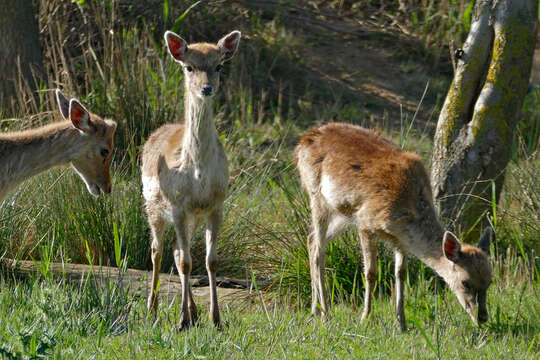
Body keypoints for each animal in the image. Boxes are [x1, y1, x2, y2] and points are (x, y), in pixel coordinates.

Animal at [141, 30, 240, 330]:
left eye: (218, 66)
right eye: (189, 67)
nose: (206, 88)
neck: (197, 174)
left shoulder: (216, 204)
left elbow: (210, 261)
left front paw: (216, 319)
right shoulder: (177, 205)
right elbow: (186, 263)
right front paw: (181, 321)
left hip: (191, 218)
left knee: (175, 250)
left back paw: (194, 312)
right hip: (152, 206)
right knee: (157, 250)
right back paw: (152, 309)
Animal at [296, 122, 494, 330]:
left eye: (490, 281)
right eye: (465, 282)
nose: (482, 317)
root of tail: (304, 141)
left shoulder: (400, 239)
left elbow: (400, 273)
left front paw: (402, 323)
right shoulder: (366, 222)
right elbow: (371, 273)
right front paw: (365, 318)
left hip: (344, 212)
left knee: (311, 240)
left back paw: (315, 309)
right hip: (317, 197)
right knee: (319, 252)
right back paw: (325, 313)